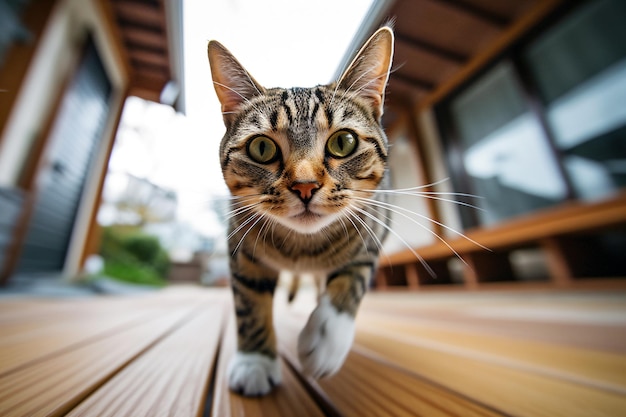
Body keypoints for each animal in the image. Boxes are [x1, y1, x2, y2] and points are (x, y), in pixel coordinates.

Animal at [207, 26, 392, 396]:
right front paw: (255, 361)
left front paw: (327, 334)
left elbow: (354, 275)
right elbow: (250, 303)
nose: (305, 186)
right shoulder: (241, 248)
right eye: (261, 147)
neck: (302, 249)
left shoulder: (375, 225)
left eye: (343, 142)